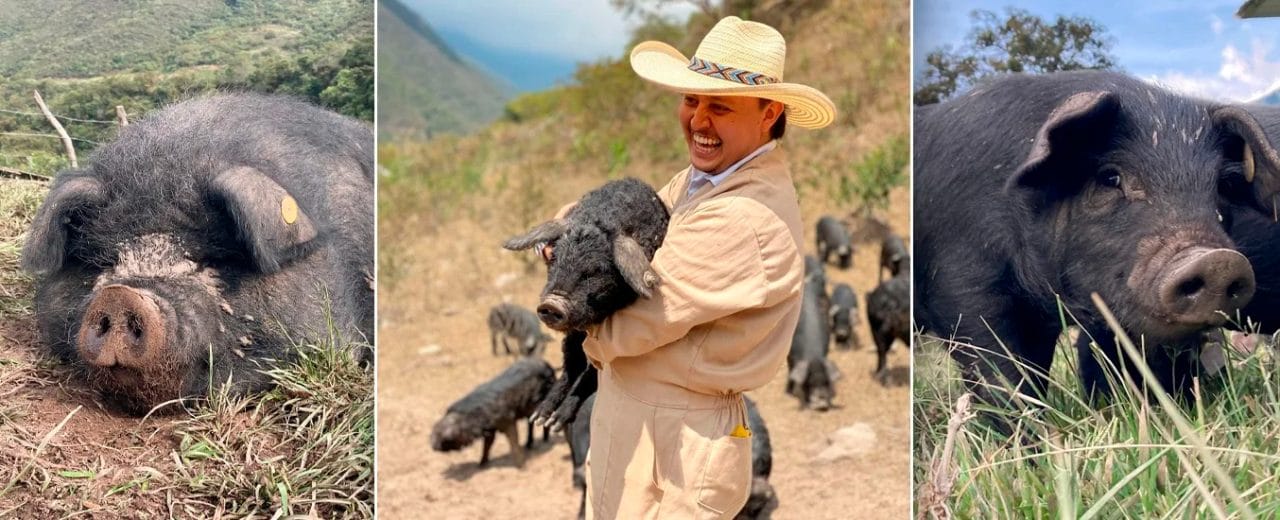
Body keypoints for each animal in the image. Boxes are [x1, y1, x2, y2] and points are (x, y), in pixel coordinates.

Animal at [502, 177, 669, 430]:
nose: (552, 304)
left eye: (596, 270)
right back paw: (541, 417)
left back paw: (554, 421)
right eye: (554, 258)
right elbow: (573, 368)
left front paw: (557, 421)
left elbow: (592, 373)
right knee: (570, 367)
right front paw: (543, 419)